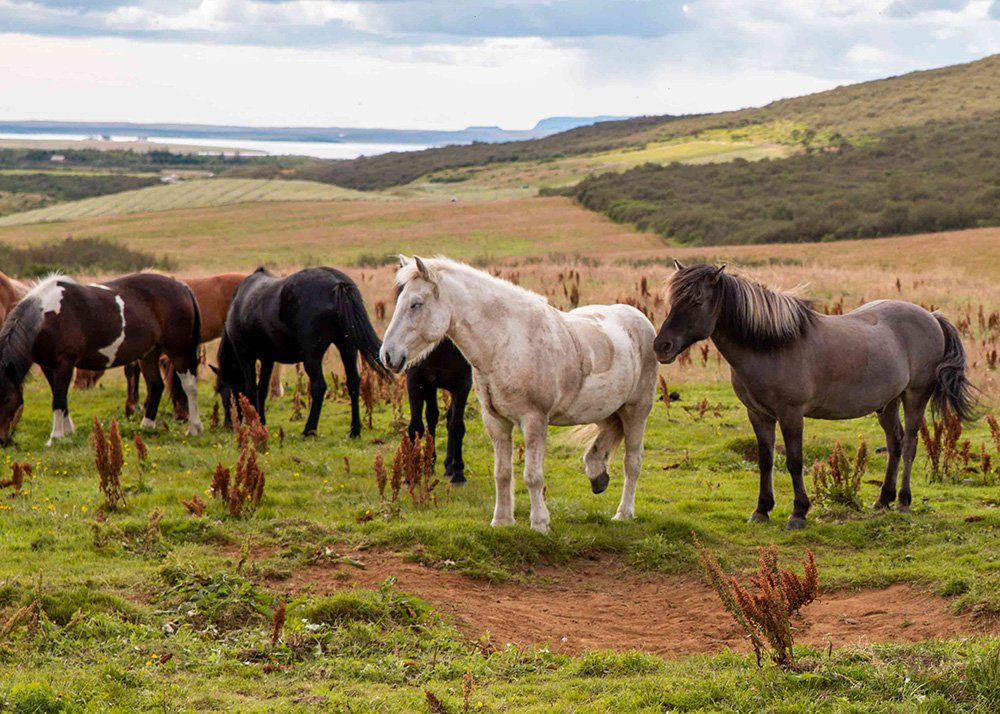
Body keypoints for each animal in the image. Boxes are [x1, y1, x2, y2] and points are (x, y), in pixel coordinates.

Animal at [0, 273, 203, 446]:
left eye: (8, 399)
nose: (2, 441)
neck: (47, 317)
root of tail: (182, 286)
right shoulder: (48, 366)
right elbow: (61, 398)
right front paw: (68, 432)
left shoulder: (65, 364)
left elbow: (58, 400)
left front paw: (55, 437)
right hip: (149, 354)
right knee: (156, 386)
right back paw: (146, 427)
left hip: (179, 351)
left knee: (190, 386)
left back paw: (194, 428)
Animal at [213, 267, 387, 437]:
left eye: (223, 390)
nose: (228, 424)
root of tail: (337, 283)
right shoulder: (267, 359)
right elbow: (261, 389)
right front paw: (261, 422)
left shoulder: (244, 355)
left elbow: (250, 389)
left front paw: (254, 424)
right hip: (348, 347)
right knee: (353, 382)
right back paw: (354, 430)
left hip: (312, 357)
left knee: (319, 386)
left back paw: (309, 430)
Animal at [406, 338, 473, 484]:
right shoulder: (415, 379)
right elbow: (416, 427)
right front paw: (410, 476)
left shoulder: (463, 383)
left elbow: (457, 427)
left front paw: (458, 474)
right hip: (430, 386)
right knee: (432, 416)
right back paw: (430, 465)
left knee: (449, 418)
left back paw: (449, 467)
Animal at [653, 261, 976, 529]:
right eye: (672, 301)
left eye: (696, 301)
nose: (661, 346)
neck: (771, 346)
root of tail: (931, 316)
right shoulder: (758, 414)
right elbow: (766, 460)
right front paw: (761, 510)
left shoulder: (791, 414)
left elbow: (794, 461)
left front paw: (798, 513)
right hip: (888, 402)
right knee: (894, 444)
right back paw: (883, 499)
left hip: (915, 396)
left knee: (909, 445)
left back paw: (903, 502)